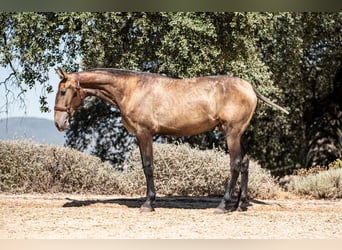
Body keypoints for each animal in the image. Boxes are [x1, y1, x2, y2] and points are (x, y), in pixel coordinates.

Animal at [53, 68, 288, 213]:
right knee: (246, 162)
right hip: (238, 134)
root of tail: (249, 87)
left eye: (63, 91)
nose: (58, 122)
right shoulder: (141, 135)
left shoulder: (144, 133)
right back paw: (240, 205)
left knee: (236, 164)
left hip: (232, 133)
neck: (131, 89)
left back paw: (223, 206)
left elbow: (148, 166)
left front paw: (148, 203)